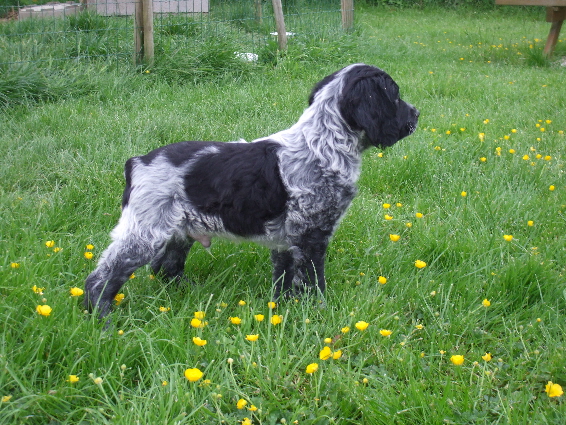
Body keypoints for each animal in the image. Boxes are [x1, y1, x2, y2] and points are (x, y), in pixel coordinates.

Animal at [85, 62, 422, 314]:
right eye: (394, 96)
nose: (417, 114)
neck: (322, 144)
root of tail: (137, 162)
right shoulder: (311, 235)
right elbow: (313, 281)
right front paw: (319, 314)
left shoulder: (286, 242)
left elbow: (285, 280)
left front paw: (283, 310)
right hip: (145, 232)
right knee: (101, 278)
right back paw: (102, 319)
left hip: (177, 231)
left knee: (165, 268)